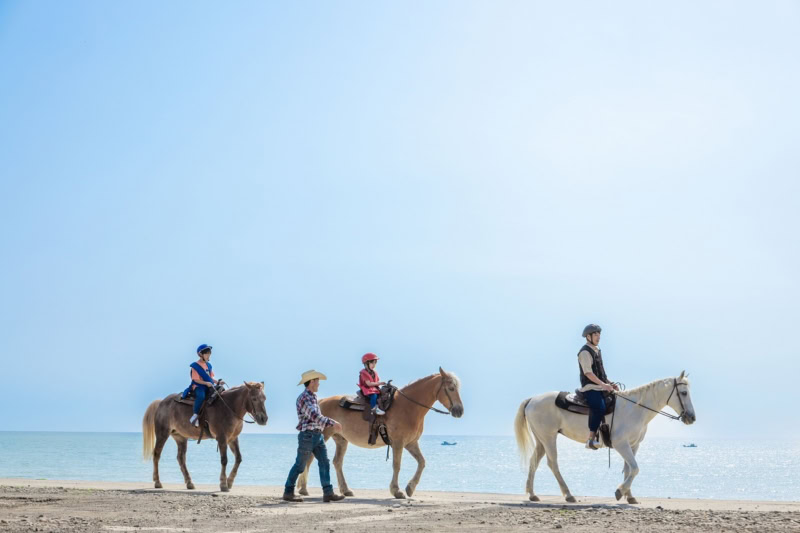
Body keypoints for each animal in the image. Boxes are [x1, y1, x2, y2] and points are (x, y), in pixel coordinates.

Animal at [298, 367, 464, 499]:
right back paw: (303, 489)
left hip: (341, 440)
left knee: (337, 462)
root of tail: (321, 402)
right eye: (451, 388)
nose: (459, 411)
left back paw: (346, 490)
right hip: (322, 436)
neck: (408, 406)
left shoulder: (411, 443)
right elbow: (397, 465)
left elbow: (422, 462)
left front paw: (410, 488)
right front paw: (396, 491)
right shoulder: (398, 443)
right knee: (310, 459)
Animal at [514, 371, 696, 504]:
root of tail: (532, 399)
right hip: (549, 438)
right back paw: (568, 494)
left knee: (534, 461)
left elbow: (629, 469)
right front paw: (619, 491)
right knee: (553, 464)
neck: (634, 409)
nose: (692, 418)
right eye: (683, 393)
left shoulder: (633, 445)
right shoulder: (621, 444)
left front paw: (630, 496)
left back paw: (532, 494)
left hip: (541, 440)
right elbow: (635, 468)